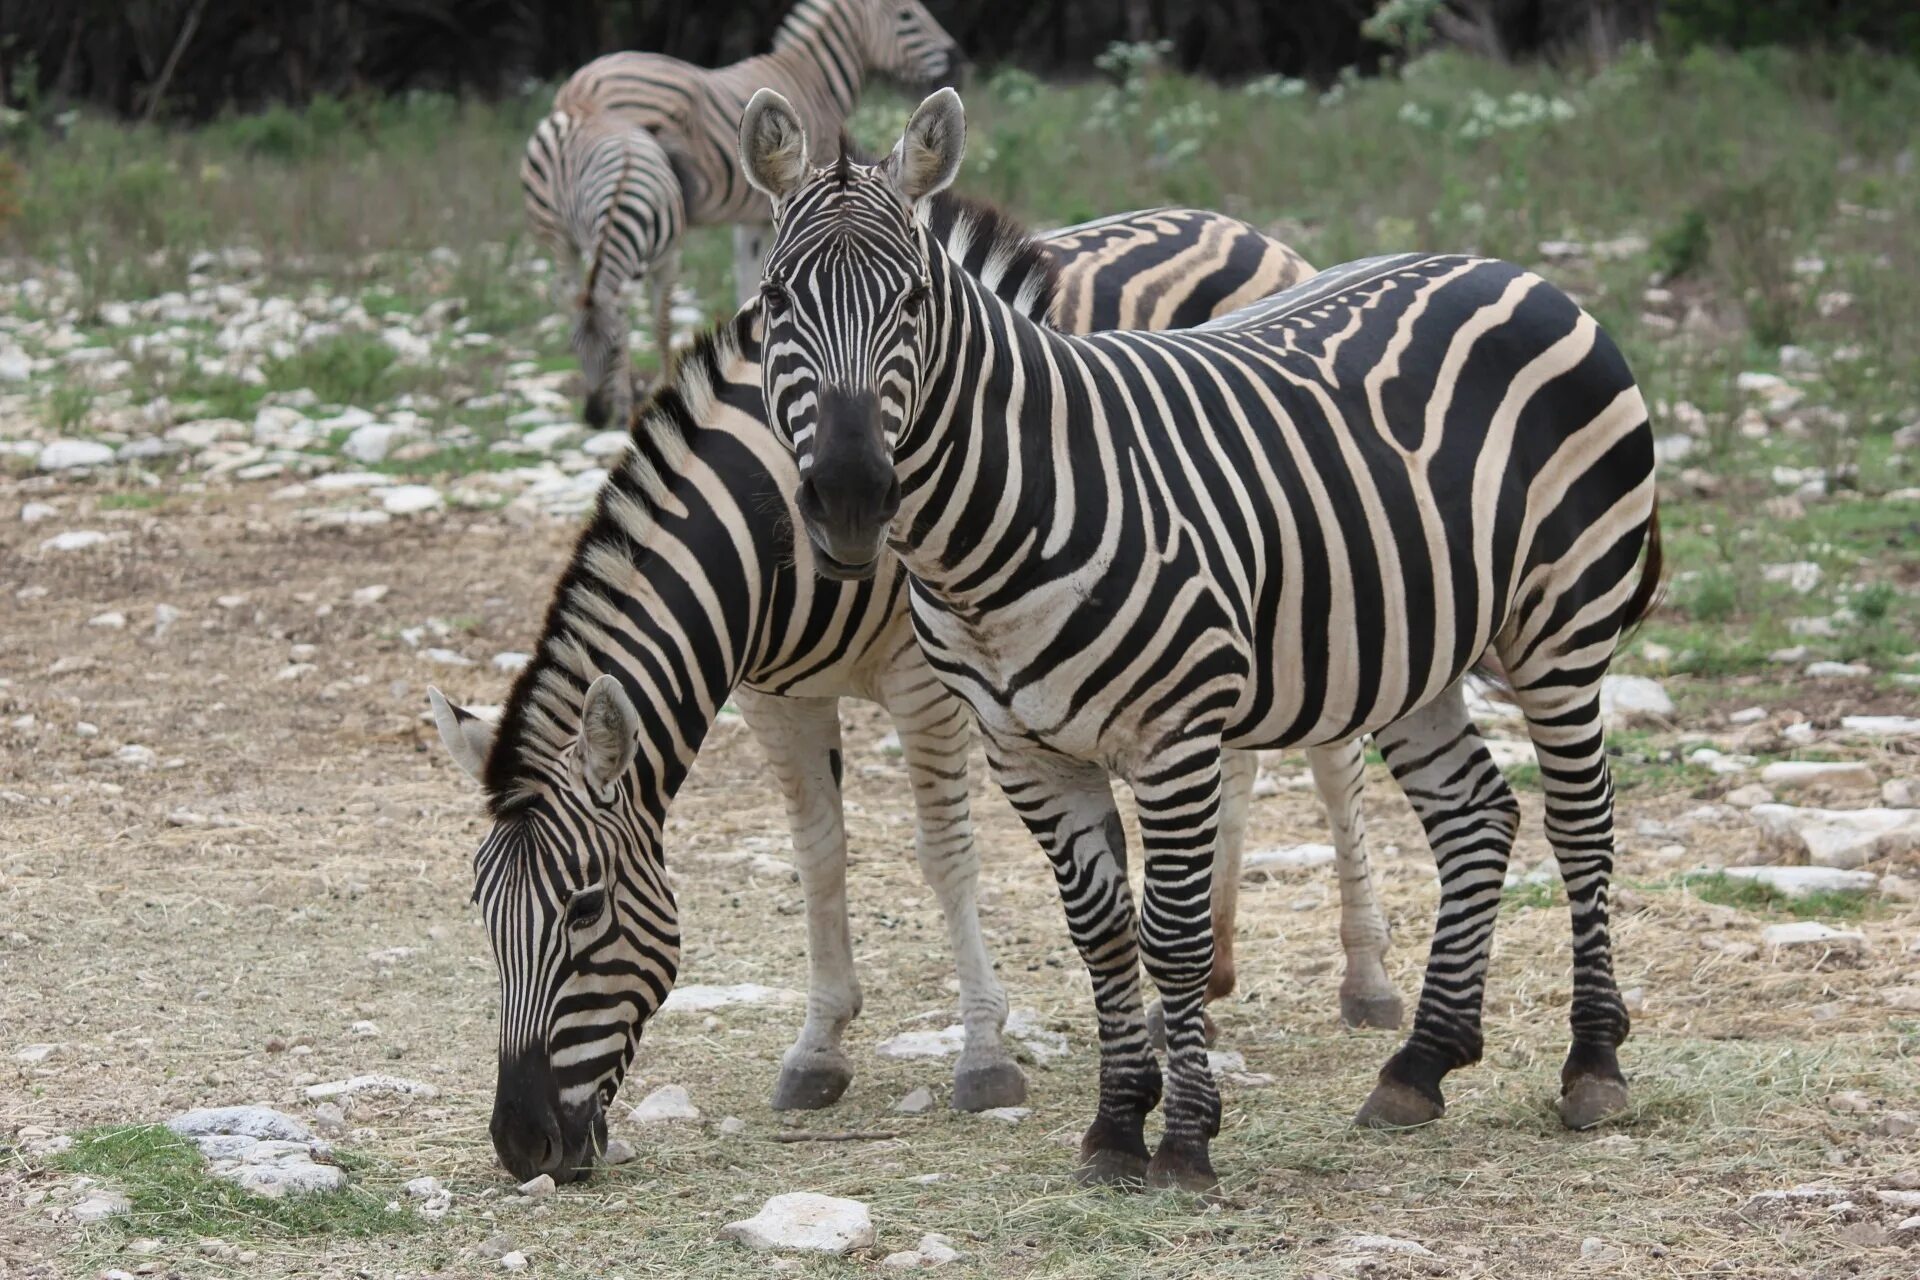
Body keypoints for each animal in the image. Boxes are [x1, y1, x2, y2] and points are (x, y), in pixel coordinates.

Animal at [428, 195, 1405, 1189]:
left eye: (586, 909)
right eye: (481, 913)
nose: (522, 1145)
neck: (773, 531)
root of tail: (1234, 224)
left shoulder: (928, 682)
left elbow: (944, 855)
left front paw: (984, 1055)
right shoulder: (773, 695)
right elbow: (819, 858)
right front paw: (818, 1050)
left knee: (1335, 765)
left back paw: (1366, 981)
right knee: (1240, 762)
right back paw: (1203, 980)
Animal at [522, 107, 687, 427]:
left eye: (611, 350)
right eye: (573, 348)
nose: (594, 418)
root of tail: (581, 111)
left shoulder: (669, 261)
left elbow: (661, 327)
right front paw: (624, 407)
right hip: (558, 236)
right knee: (568, 286)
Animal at [733, 87, 1666, 1189]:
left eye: (914, 300)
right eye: (775, 303)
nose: (847, 498)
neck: (1001, 526)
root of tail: (1514, 270)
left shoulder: (1174, 734)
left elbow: (1170, 936)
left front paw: (1182, 1139)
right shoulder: (1022, 748)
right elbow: (1101, 937)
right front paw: (1113, 1127)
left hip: (1561, 628)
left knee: (1581, 822)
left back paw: (1592, 1063)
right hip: (1412, 647)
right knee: (1478, 815)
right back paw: (1420, 1064)